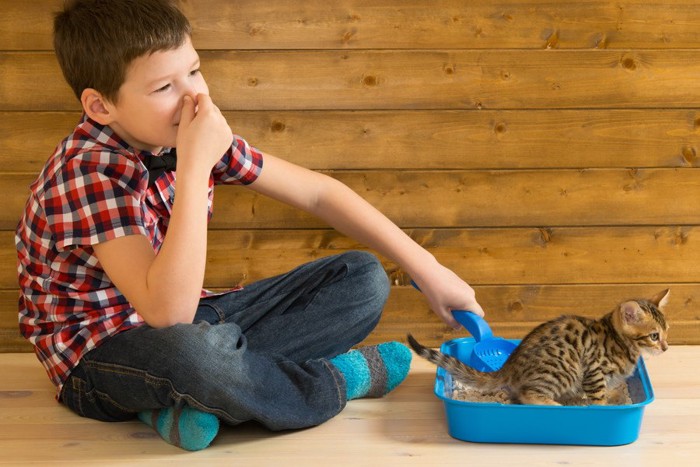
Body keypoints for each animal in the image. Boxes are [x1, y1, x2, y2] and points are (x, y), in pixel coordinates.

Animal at [408, 288, 668, 406]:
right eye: (654, 336)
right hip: (564, 368)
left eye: (666, 331)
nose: (665, 347)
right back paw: (555, 404)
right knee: (527, 394)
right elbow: (598, 397)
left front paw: (616, 395)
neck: (621, 342)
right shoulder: (594, 371)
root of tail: (510, 363)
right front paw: (602, 406)